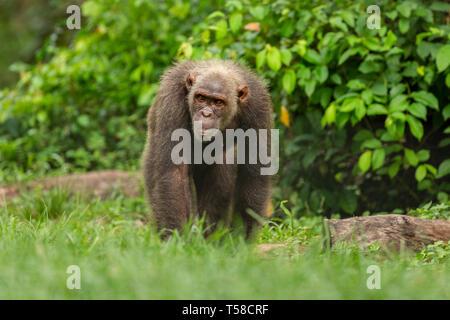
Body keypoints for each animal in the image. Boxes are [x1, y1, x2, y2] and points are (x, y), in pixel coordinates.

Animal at [142, 59, 272, 238]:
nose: (206, 114)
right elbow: (174, 174)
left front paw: (242, 239)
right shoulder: (171, 99)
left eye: (218, 102)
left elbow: (253, 176)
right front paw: (178, 240)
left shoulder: (258, 108)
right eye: (201, 98)